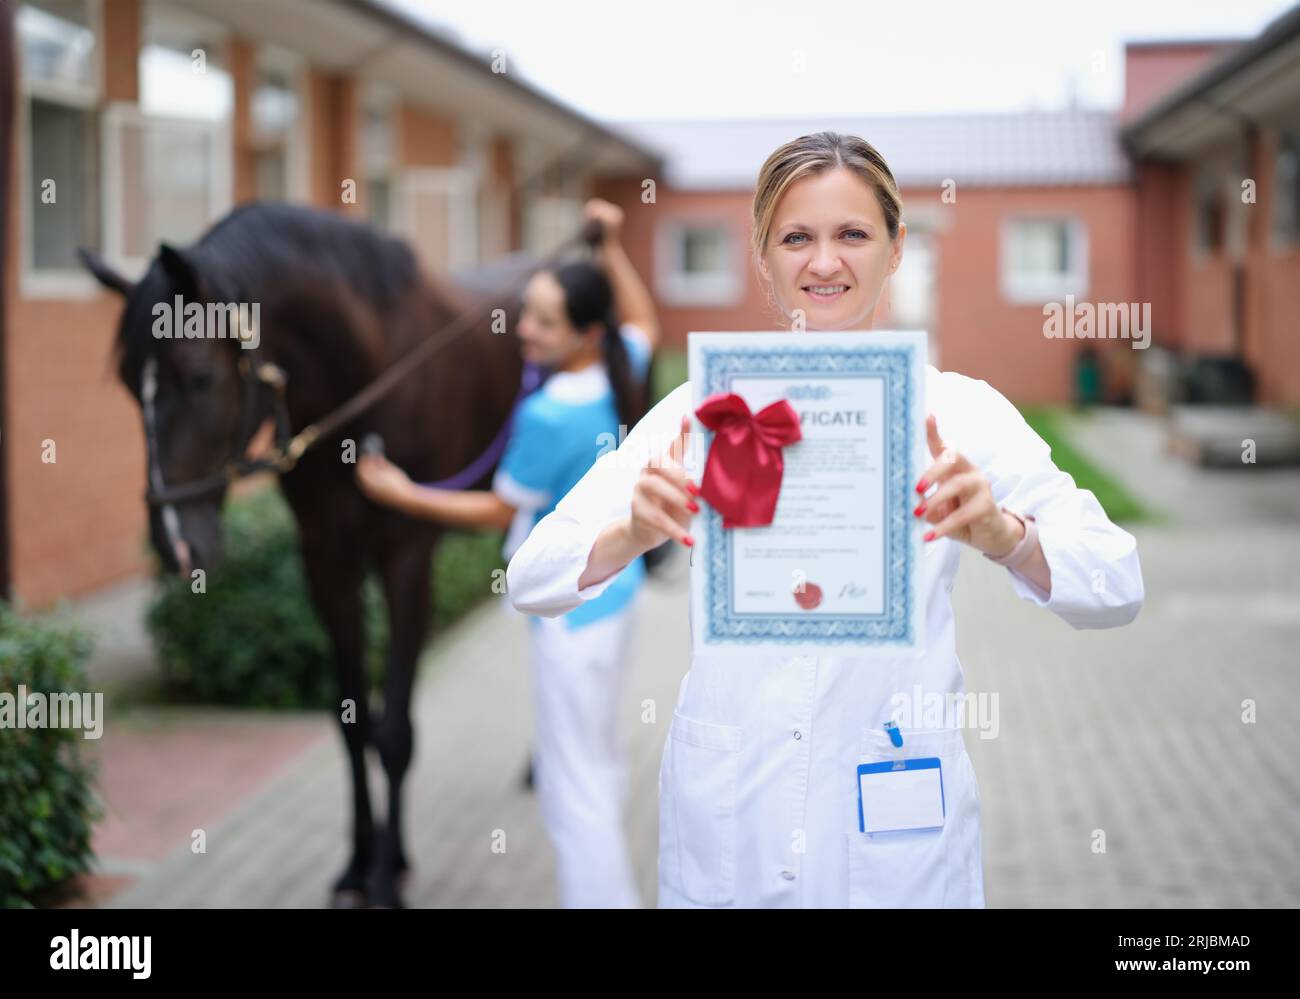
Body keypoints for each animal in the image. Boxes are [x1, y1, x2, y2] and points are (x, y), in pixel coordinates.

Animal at [82, 202, 522, 905]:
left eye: (200, 377)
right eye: (128, 385)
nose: (175, 541)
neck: (372, 374)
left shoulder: (407, 561)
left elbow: (394, 733)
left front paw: (384, 880)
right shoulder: (326, 560)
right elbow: (353, 725)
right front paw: (362, 864)